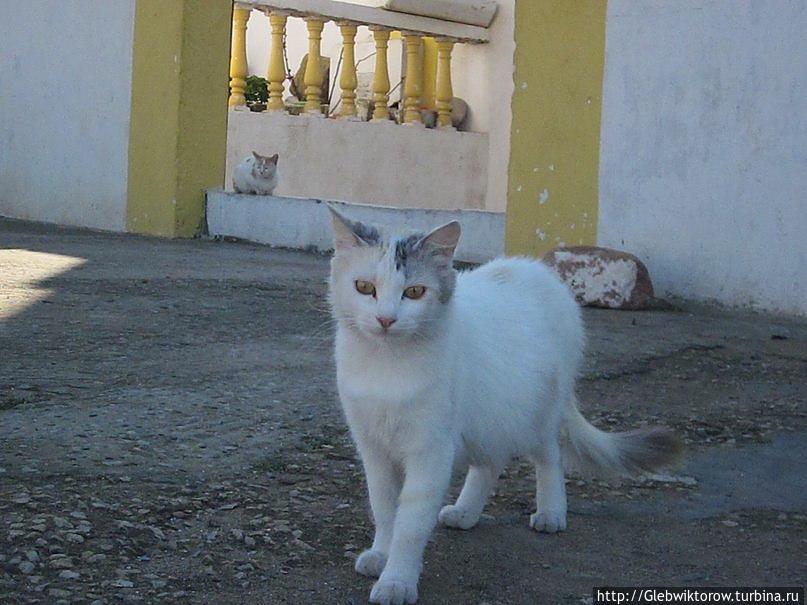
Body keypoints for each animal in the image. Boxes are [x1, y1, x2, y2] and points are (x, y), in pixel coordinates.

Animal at [326, 205, 682, 605]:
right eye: (364, 288)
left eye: (414, 292)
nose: (386, 319)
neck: (386, 365)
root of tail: (537, 270)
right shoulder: (373, 448)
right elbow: (385, 509)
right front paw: (381, 555)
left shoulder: (430, 450)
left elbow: (410, 522)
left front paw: (397, 579)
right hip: (492, 415)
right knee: (490, 463)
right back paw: (466, 512)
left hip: (537, 415)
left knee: (550, 458)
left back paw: (551, 512)